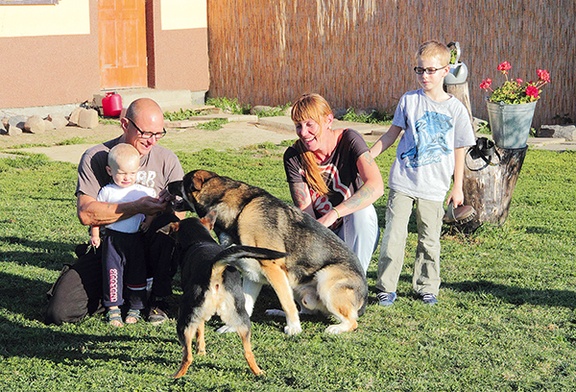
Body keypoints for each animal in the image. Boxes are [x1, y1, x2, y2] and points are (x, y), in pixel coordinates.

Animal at [166, 170, 366, 336]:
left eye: (182, 181)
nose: (168, 184)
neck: (239, 210)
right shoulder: (252, 273)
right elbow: (246, 304)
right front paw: (233, 327)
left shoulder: (273, 268)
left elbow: (286, 303)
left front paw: (294, 328)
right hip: (295, 284)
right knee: (306, 310)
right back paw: (277, 312)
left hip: (325, 281)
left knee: (352, 321)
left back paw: (335, 328)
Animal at [166, 213, 286, 378]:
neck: (200, 240)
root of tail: (215, 269)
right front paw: (202, 351)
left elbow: (200, 330)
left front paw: (200, 350)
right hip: (243, 320)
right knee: (248, 353)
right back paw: (258, 372)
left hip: (184, 318)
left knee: (187, 356)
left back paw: (176, 375)